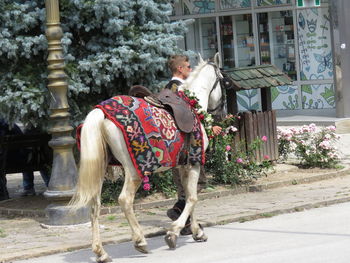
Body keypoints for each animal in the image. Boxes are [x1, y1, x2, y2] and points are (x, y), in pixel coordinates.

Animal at [69, 53, 226, 262]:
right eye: (223, 81)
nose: (222, 114)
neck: (192, 102)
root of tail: (101, 112)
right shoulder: (193, 163)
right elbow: (192, 198)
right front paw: (175, 232)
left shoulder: (182, 165)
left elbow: (187, 196)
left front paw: (195, 231)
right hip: (134, 171)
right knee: (125, 200)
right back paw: (140, 240)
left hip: (100, 168)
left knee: (95, 205)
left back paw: (101, 252)